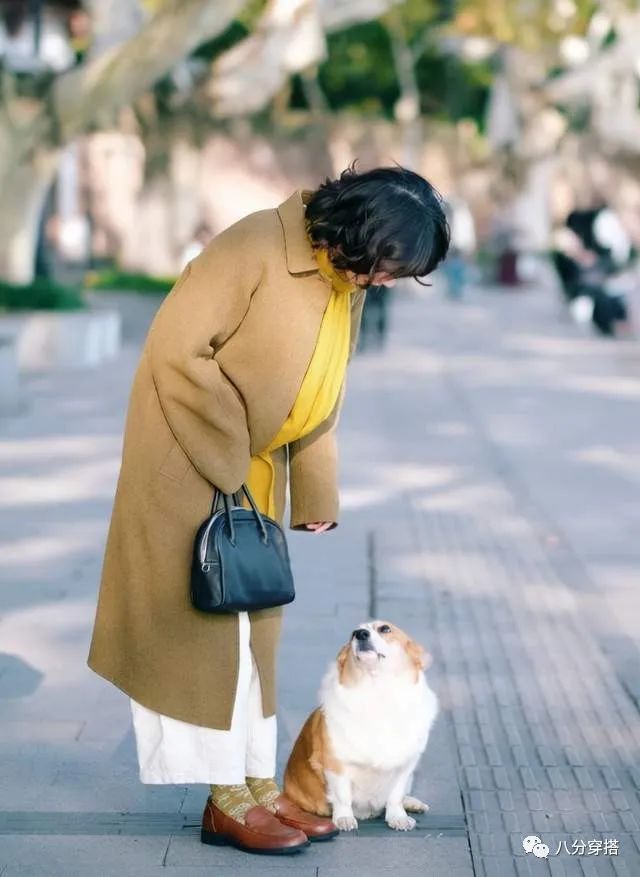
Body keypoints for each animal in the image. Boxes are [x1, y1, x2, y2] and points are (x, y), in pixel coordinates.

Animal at [284, 620, 440, 832]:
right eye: (353, 634)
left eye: (385, 629)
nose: (360, 634)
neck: (376, 692)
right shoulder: (336, 765)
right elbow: (342, 796)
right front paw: (344, 818)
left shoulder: (404, 767)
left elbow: (395, 796)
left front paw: (398, 817)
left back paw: (412, 803)